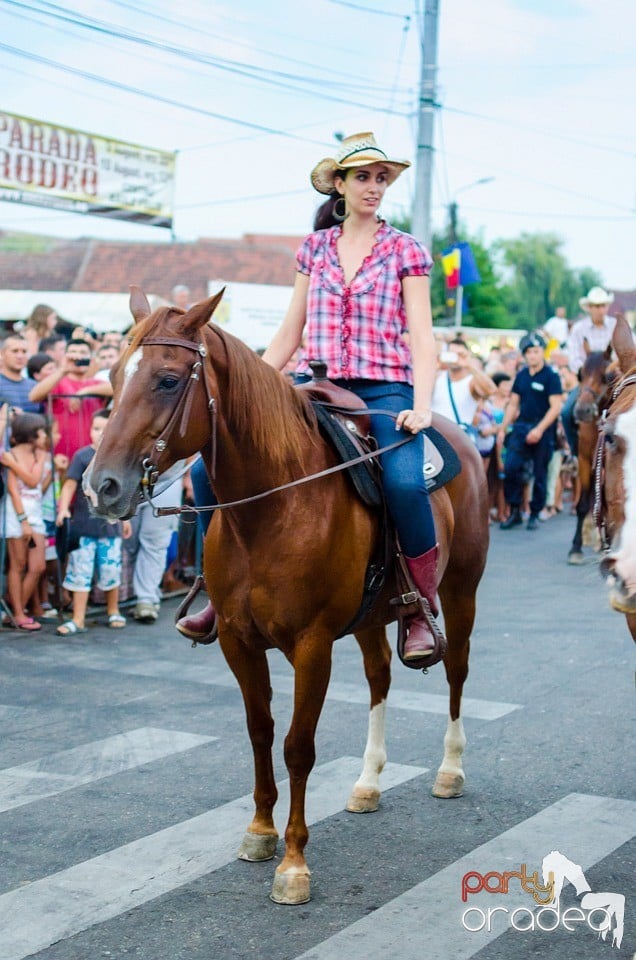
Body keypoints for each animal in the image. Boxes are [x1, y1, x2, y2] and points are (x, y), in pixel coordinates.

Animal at [88, 288, 486, 904]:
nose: (102, 486)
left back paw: (450, 770)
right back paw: (368, 781)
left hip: (461, 590)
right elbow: (260, 733)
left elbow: (298, 746)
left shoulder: (312, 645)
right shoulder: (237, 641)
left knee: (456, 671)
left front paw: (294, 864)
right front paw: (259, 832)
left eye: (169, 380)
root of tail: (460, 434)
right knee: (379, 678)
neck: (272, 509)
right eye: (111, 374)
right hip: (372, 616)